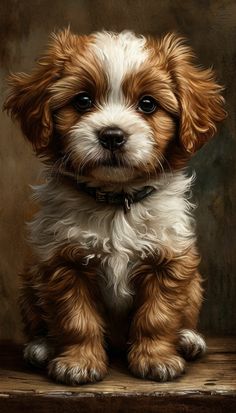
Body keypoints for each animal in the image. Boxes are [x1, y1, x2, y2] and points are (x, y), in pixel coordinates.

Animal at [3, 29, 225, 386]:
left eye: (147, 104)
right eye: (82, 101)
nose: (112, 136)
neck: (117, 201)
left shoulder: (169, 260)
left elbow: (158, 316)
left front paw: (156, 359)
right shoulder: (63, 262)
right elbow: (75, 319)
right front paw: (78, 363)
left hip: (193, 286)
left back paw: (189, 340)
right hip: (29, 282)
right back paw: (41, 347)